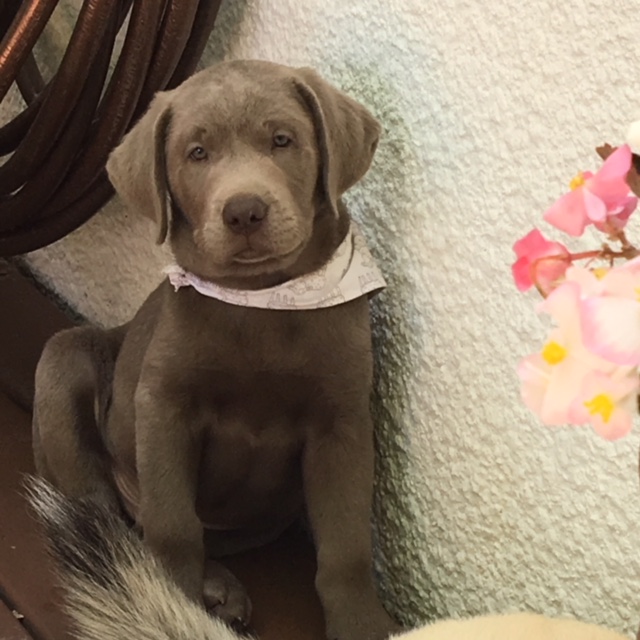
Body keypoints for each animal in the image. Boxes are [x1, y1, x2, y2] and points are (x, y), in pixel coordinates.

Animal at [32, 60, 399, 640]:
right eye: (197, 153)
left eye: (282, 140)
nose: (245, 211)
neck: (262, 300)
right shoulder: (164, 404)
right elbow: (174, 525)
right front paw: (169, 602)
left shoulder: (342, 423)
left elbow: (345, 544)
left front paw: (360, 621)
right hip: (64, 361)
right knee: (105, 523)